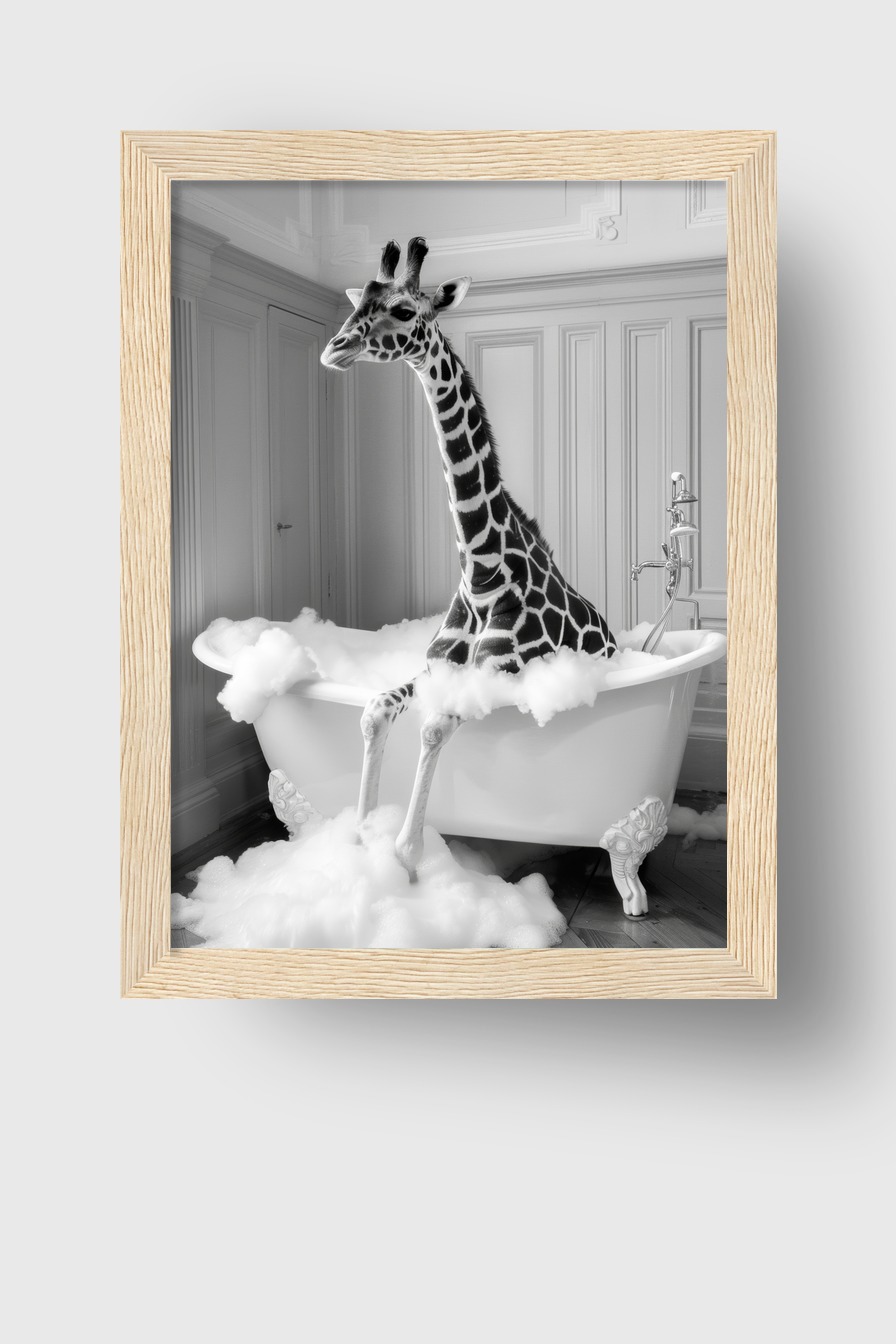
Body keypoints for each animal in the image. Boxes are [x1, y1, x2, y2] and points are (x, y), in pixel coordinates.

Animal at [321, 238, 617, 877]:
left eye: (405, 311)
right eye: (360, 303)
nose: (335, 348)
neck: (483, 569)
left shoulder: (496, 676)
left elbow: (433, 729)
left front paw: (405, 857)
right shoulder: (437, 670)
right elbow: (374, 711)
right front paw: (358, 835)